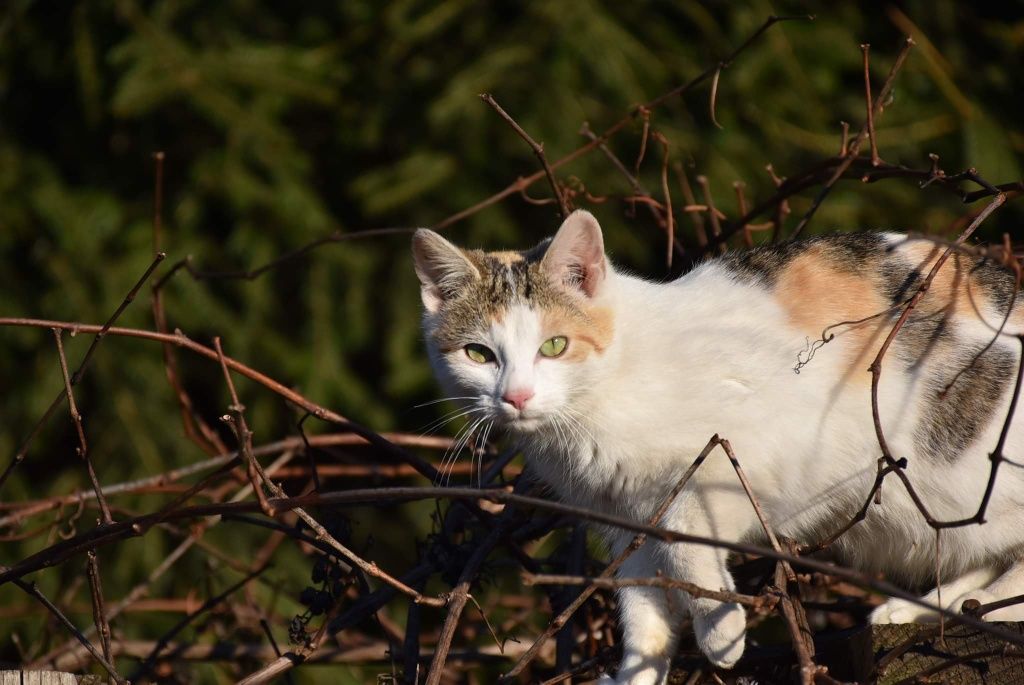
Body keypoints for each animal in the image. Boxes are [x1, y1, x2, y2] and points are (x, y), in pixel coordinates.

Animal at [409, 209, 1024, 683]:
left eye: (555, 346)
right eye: (478, 354)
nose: (516, 396)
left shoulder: (744, 457)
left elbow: (685, 540)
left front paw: (721, 632)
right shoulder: (624, 517)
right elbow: (641, 599)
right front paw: (639, 671)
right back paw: (928, 609)